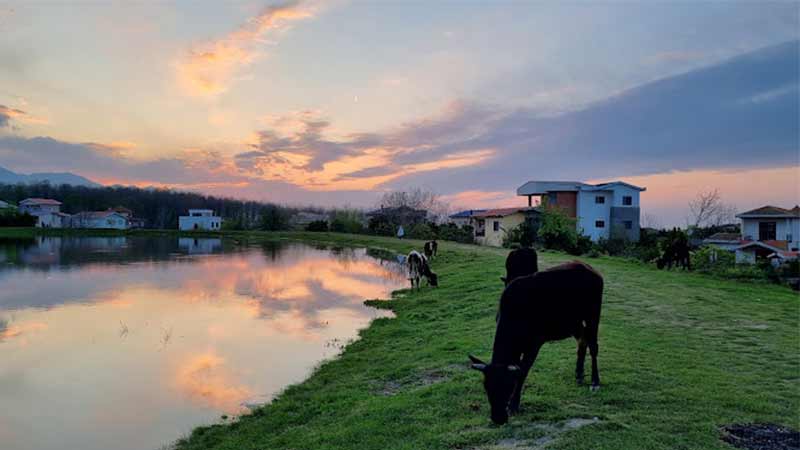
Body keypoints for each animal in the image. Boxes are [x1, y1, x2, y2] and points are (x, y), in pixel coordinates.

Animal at [468, 262, 600, 424]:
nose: (498, 418)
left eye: (508, 387)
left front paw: (514, 405)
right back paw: (579, 374)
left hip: (593, 316)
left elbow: (523, 372)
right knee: (582, 341)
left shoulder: (534, 345)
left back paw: (595, 382)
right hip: (574, 322)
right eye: (486, 387)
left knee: (593, 346)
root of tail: (590, 269)